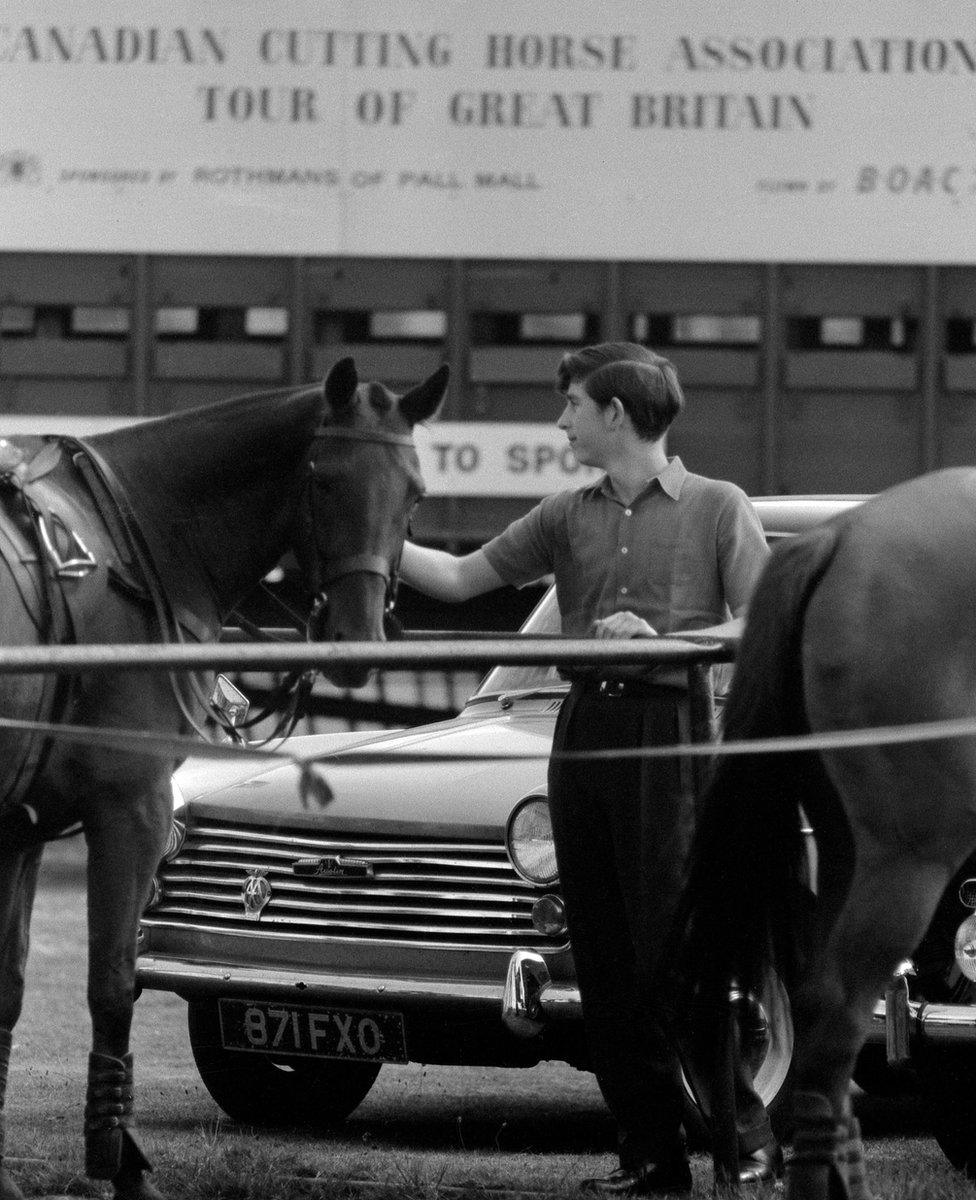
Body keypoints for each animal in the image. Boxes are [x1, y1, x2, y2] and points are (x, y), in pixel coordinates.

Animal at [0, 357, 446, 1200]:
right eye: (323, 480)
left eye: (415, 492)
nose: (357, 638)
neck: (138, 538)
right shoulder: (132, 808)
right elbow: (113, 983)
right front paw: (118, 1160)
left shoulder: (23, 827)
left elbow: (7, 989)